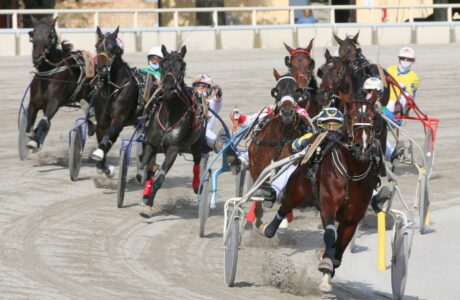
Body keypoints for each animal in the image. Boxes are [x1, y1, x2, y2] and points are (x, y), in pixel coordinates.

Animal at [91, 27, 142, 177]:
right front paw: (104, 166)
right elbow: (104, 137)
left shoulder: (119, 119)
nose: (100, 68)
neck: (111, 91)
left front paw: (99, 154)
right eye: (97, 46)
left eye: (113, 47)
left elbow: (110, 133)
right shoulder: (102, 122)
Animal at [138, 45, 207, 218]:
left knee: (197, 162)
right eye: (162, 65)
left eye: (182, 66)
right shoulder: (150, 143)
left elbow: (160, 178)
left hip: (197, 144)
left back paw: (196, 185)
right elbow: (143, 171)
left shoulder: (173, 149)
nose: (168, 87)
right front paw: (145, 195)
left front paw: (148, 206)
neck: (169, 113)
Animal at [262, 91, 380, 290]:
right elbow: (331, 234)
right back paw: (269, 227)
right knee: (285, 206)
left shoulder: (352, 217)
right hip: (297, 190)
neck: (351, 172)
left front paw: (330, 265)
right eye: (351, 116)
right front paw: (326, 263)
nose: (362, 147)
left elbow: (340, 246)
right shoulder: (328, 204)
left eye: (373, 118)